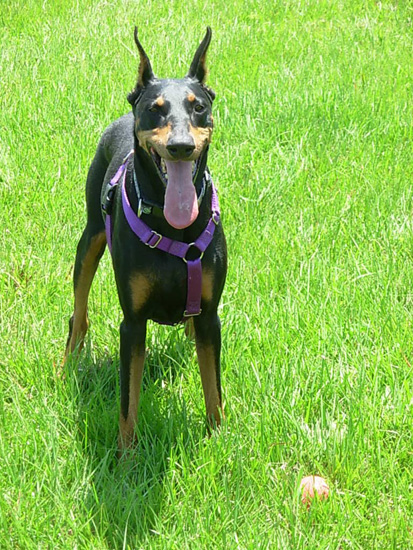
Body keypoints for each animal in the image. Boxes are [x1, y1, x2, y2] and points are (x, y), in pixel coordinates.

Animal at [64, 27, 227, 451]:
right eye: (156, 108)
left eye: (198, 107)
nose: (181, 146)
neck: (173, 227)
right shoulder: (133, 323)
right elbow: (128, 401)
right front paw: (127, 456)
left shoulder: (211, 317)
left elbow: (213, 389)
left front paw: (218, 441)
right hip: (90, 239)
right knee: (78, 312)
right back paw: (67, 365)